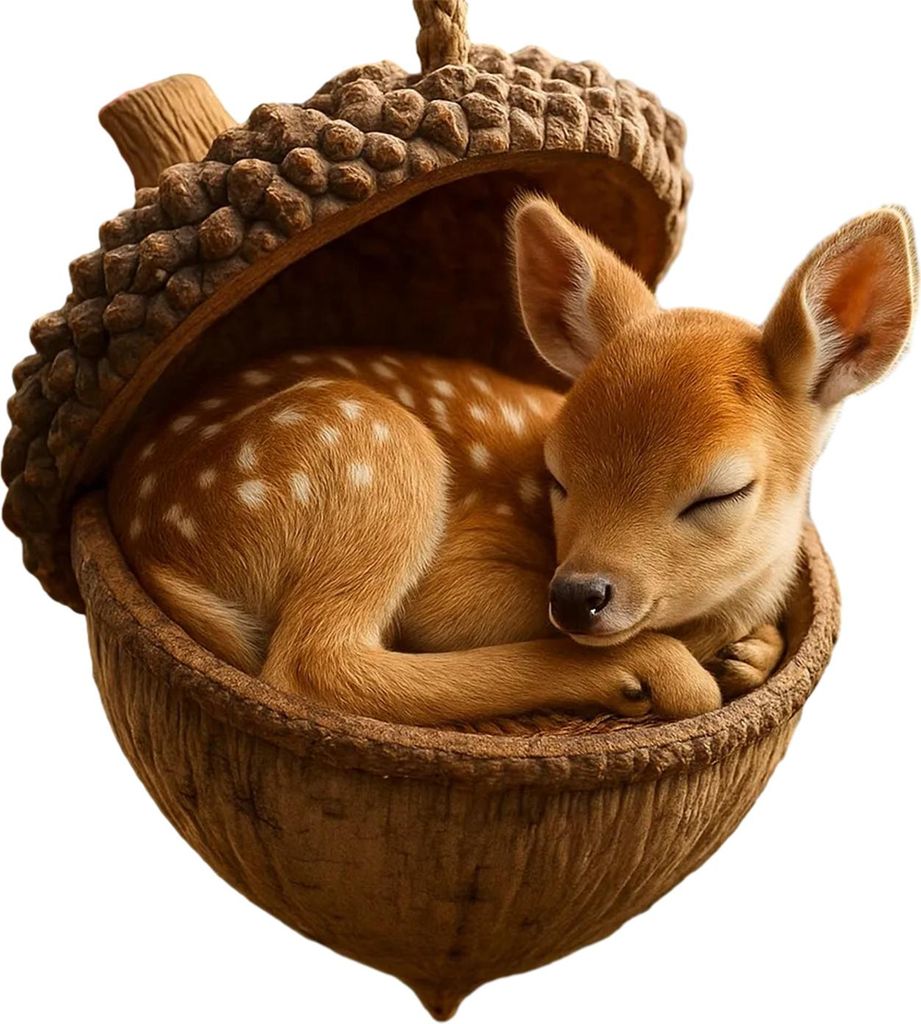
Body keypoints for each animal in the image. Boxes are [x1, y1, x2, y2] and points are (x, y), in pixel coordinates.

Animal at [107, 197, 916, 725]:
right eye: (557, 475)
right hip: (372, 449)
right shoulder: (456, 571)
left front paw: (752, 653)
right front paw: (697, 662)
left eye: (720, 493)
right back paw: (644, 674)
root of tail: (148, 536)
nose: (578, 597)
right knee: (315, 662)